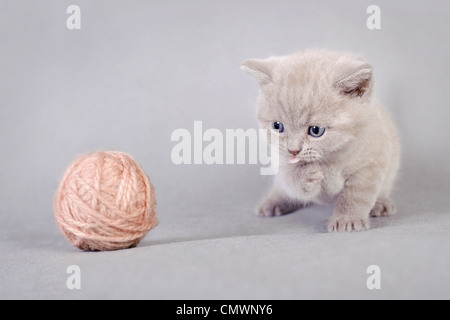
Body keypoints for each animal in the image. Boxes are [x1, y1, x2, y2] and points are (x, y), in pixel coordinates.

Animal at [243, 48, 400, 232]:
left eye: (316, 130)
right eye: (277, 126)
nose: (293, 150)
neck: (331, 159)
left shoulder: (371, 163)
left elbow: (357, 195)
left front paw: (347, 219)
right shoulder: (282, 160)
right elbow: (290, 178)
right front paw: (304, 176)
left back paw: (381, 204)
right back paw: (273, 203)